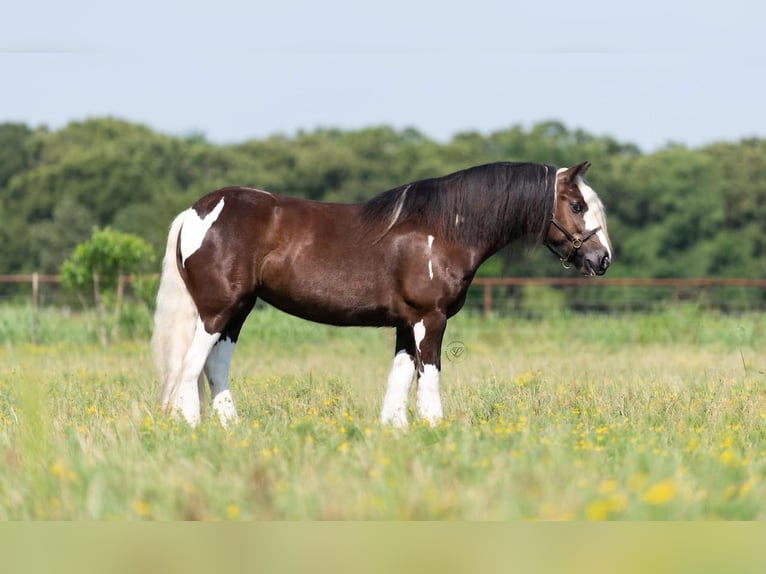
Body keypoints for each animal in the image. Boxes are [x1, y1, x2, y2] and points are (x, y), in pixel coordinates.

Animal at [153, 161, 616, 428]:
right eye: (577, 205)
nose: (602, 259)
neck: (442, 228)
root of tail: (197, 211)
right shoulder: (430, 319)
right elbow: (429, 378)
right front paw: (435, 431)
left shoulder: (405, 324)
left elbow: (399, 381)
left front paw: (396, 433)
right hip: (218, 310)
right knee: (190, 367)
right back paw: (190, 426)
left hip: (239, 310)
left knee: (214, 367)